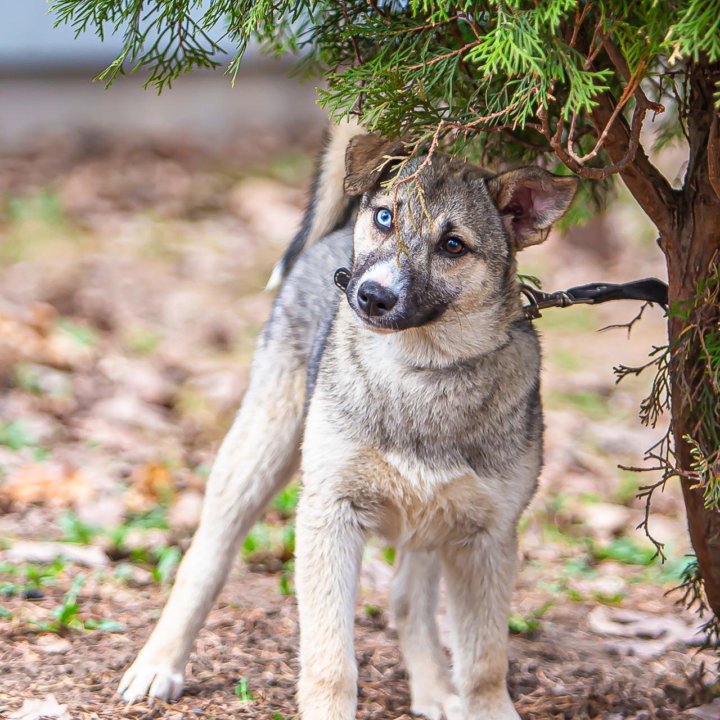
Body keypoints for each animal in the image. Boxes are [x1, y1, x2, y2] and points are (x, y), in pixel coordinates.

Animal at [118, 119, 580, 720]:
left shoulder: (487, 536)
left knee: (408, 601)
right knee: (206, 560)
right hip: (258, 452)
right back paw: (158, 665)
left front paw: (482, 706)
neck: (421, 369)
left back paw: (435, 692)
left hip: (433, 523)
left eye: (453, 245)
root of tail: (335, 235)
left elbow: (484, 661)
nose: (371, 295)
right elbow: (330, 656)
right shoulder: (330, 513)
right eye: (385, 217)